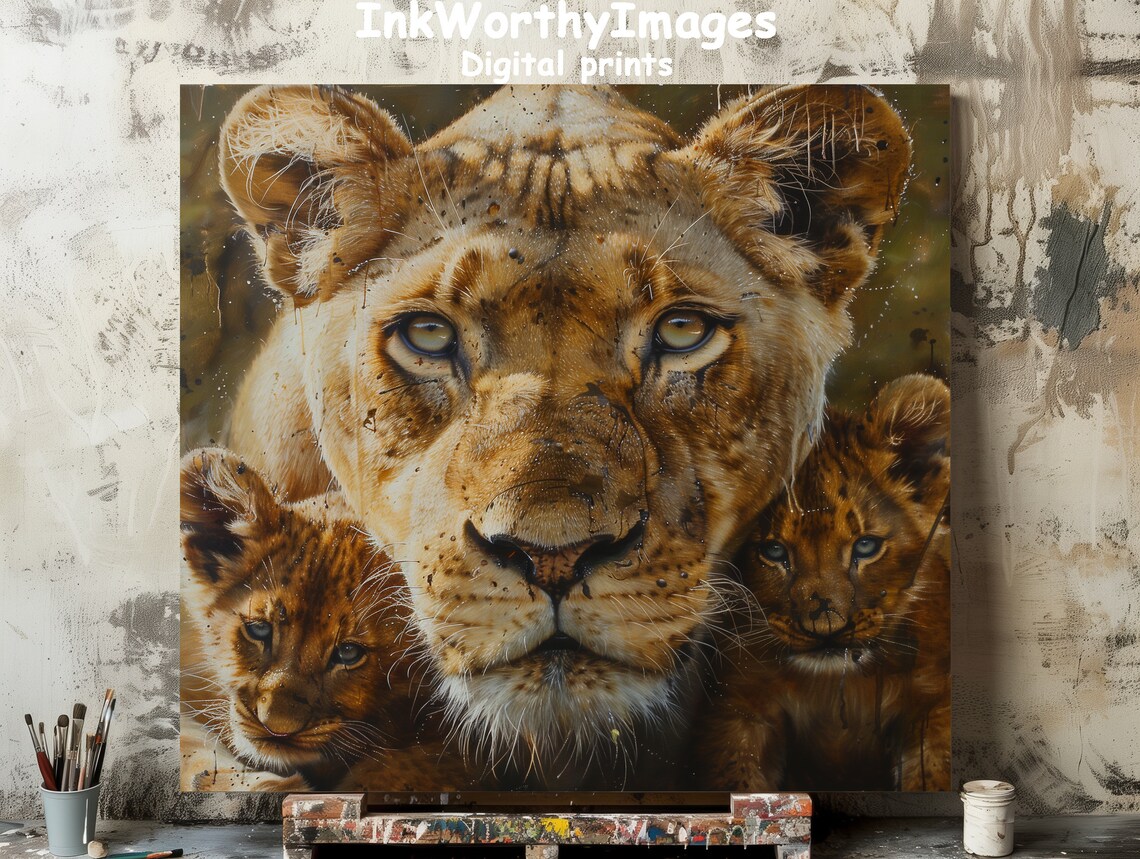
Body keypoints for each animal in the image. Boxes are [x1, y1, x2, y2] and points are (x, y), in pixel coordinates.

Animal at [695, 374, 951, 790]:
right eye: (774, 551)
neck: (836, 690)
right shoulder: (737, 710)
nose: (825, 630)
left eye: (865, 546)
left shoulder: (933, 704)